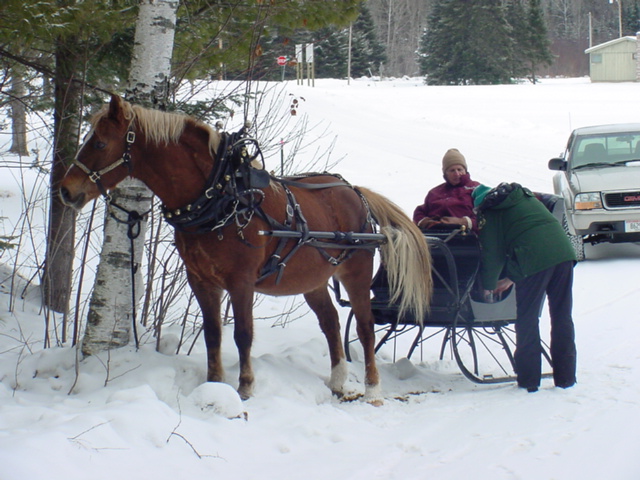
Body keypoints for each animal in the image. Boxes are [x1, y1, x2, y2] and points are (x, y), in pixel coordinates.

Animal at [60, 95, 432, 404]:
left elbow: (242, 334)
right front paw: (214, 385)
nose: (66, 190)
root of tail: (354, 190)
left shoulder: (241, 282)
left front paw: (245, 388)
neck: (220, 197)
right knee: (330, 322)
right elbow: (212, 334)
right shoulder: (201, 280)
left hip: (356, 272)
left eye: (100, 142)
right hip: (312, 279)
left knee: (365, 328)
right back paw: (339, 380)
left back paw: (373, 389)